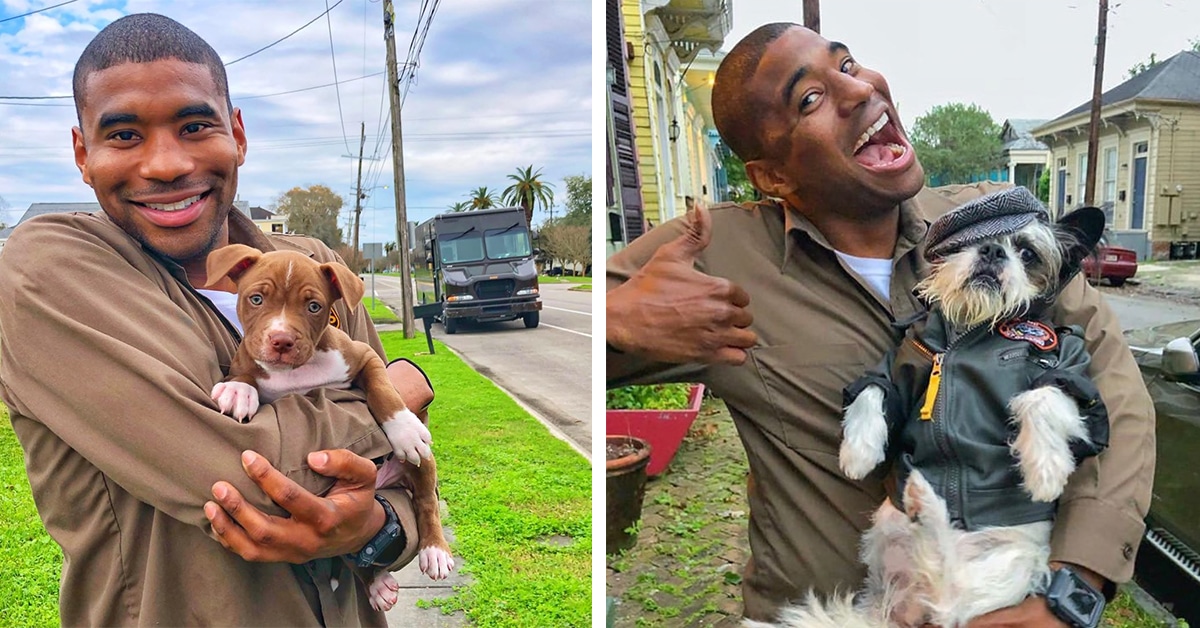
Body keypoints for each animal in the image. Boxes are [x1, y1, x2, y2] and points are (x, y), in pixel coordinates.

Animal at [204, 243, 451, 612]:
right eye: (256, 299)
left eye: (314, 306)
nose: (281, 340)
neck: (297, 373)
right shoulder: (249, 355)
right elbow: (243, 368)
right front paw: (237, 389)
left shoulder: (364, 356)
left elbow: (383, 390)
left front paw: (404, 428)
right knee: (349, 549)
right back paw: (377, 584)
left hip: (422, 467)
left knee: (425, 501)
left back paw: (434, 551)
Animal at [748, 188, 1113, 628]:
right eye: (964, 244)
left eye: (1027, 253)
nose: (992, 250)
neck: (969, 330)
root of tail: (905, 613)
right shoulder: (898, 370)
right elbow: (873, 392)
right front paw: (859, 453)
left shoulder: (1068, 372)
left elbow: (1040, 397)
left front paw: (1045, 470)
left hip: (1007, 569)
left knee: (949, 595)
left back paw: (927, 501)